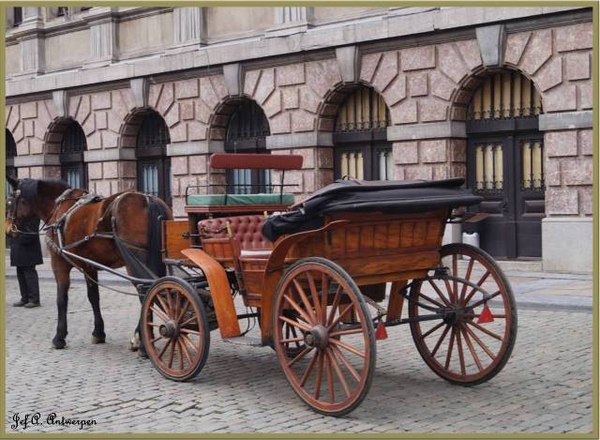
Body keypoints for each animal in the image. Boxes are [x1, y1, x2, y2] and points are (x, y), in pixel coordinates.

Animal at [5, 176, 172, 350]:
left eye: (9, 202)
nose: (8, 229)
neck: (59, 208)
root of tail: (148, 199)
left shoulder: (59, 263)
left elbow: (62, 299)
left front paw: (59, 337)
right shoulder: (89, 266)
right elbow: (93, 297)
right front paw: (98, 332)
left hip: (134, 263)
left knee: (146, 294)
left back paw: (142, 344)